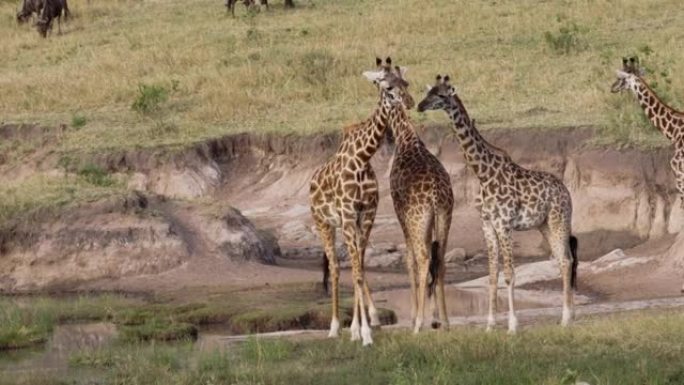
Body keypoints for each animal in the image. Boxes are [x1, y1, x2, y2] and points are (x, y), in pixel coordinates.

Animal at [308, 57, 414, 344]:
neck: (362, 158)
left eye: (406, 82)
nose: (409, 102)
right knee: (335, 268)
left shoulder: (367, 214)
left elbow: (361, 269)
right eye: (387, 86)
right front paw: (364, 333)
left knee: (351, 264)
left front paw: (360, 328)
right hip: (324, 223)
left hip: (347, 224)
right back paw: (334, 327)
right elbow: (354, 271)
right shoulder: (347, 214)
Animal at [416, 73, 576, 332]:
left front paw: (512, 325)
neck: (483, 173)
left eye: (440, 95)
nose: (420, 106)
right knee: (563, 260)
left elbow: (509, 274)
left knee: (567, 260)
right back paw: (568, 317)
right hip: (543, 225)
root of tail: (567, 192)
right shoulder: (487, 224)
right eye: (427, 92)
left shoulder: (504, 224)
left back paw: (566, 317)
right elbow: (492, 275)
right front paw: (490, 325)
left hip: (559, 219)